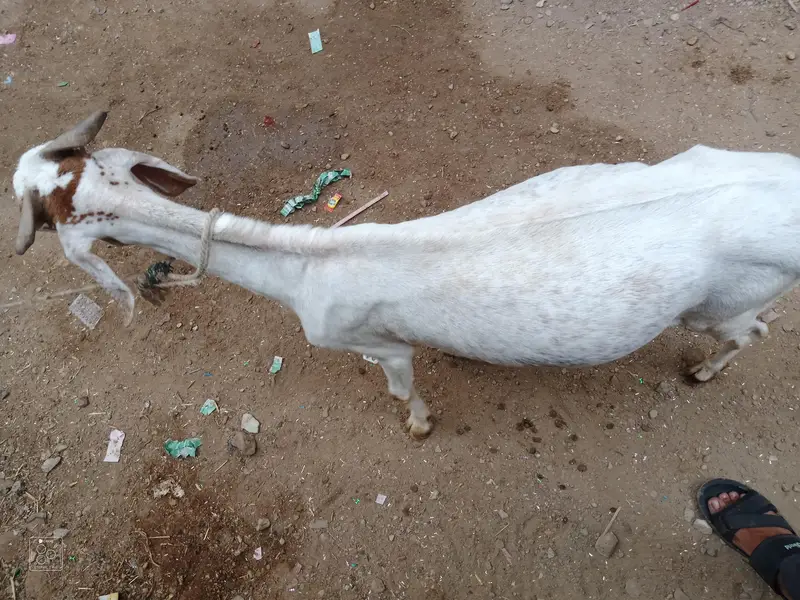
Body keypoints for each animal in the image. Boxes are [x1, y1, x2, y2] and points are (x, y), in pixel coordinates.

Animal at [12, 111, 800, 438]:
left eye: (49, 217)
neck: (307, 270)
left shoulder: (373, 342)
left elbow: (398, 386)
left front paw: (419, 425)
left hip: (720, 302)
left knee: (752, 331)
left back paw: (702, 372)